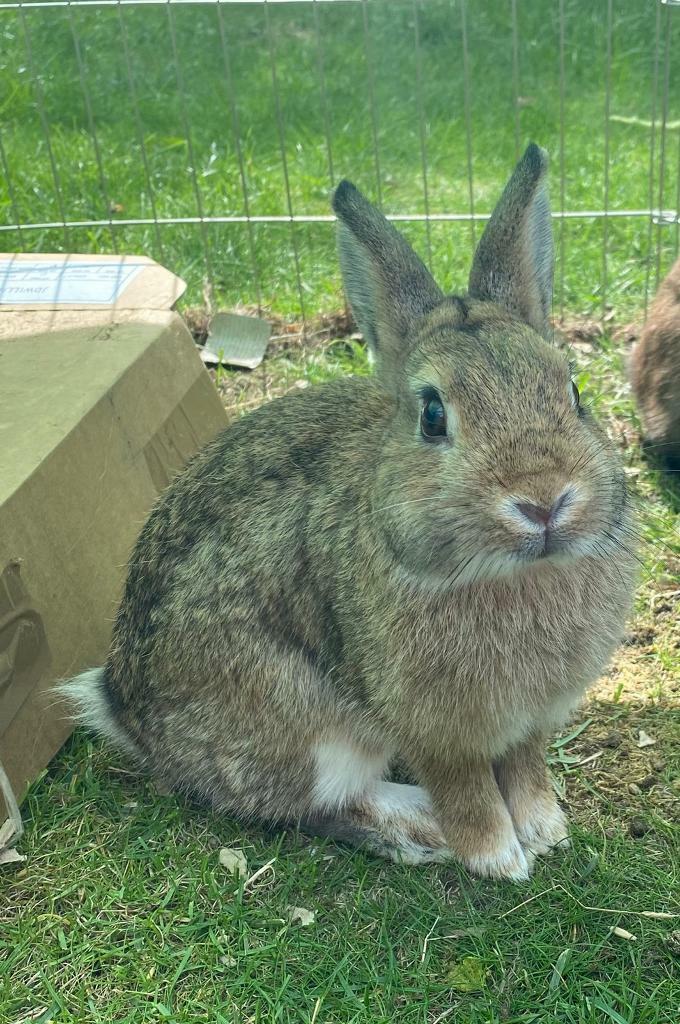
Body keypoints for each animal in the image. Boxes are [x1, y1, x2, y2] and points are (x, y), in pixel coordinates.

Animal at [61, 144, 637, 881]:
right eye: (432, 415)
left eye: (573, 391)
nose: (543, 500)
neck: (504, 573)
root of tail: (125, 711)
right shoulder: (430, 727)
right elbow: (465, 788)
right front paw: (497, 857)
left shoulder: (527, 722)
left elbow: (525, 766)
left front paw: (544, 830)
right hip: (304, 721)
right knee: (315, 804)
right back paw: (419, 827)